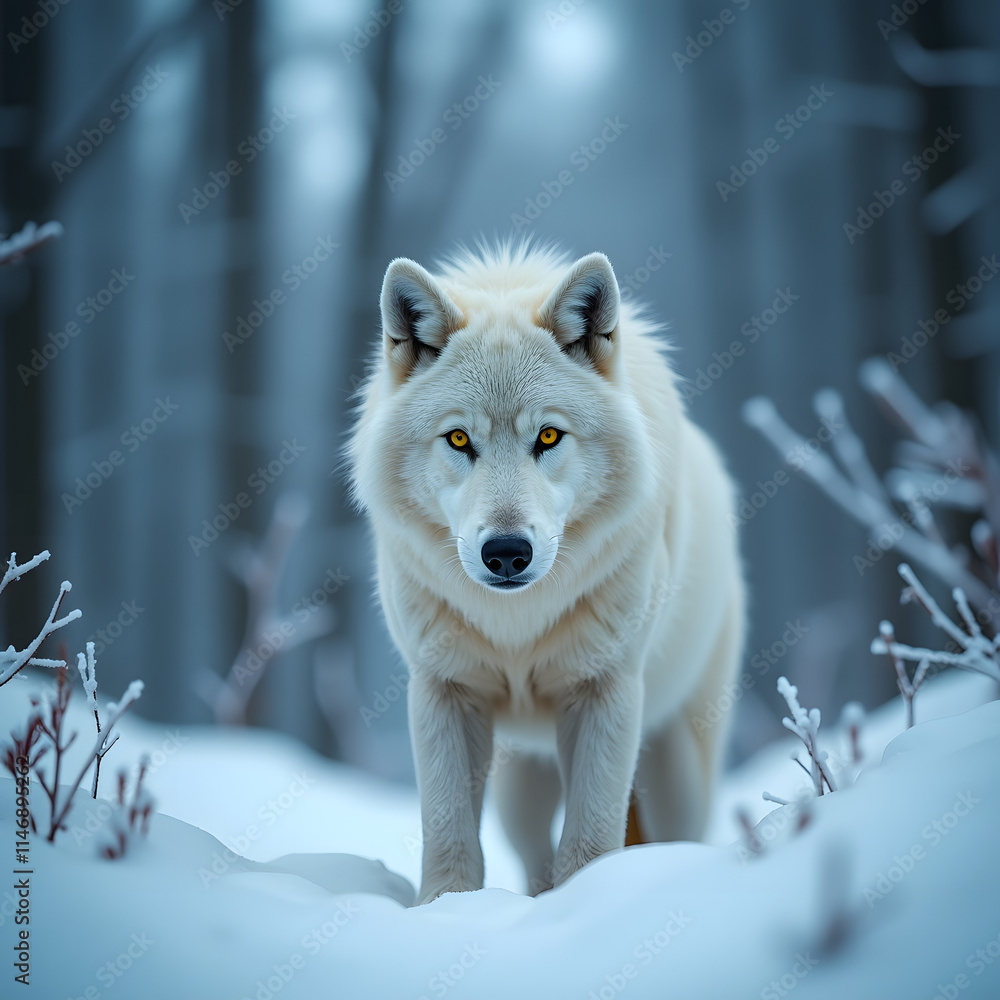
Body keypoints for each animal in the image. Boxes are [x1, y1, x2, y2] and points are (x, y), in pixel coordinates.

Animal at [349, 242, 745, 905]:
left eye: (549, 435)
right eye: (459, 439)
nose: (507, 552)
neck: (517, 624)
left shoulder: (606, 692)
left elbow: (590, 837)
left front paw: (588, 902)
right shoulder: (443, 690)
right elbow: (447, 828)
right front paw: (446, 908)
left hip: (678, 771)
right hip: (522, 787)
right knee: (534, 855)